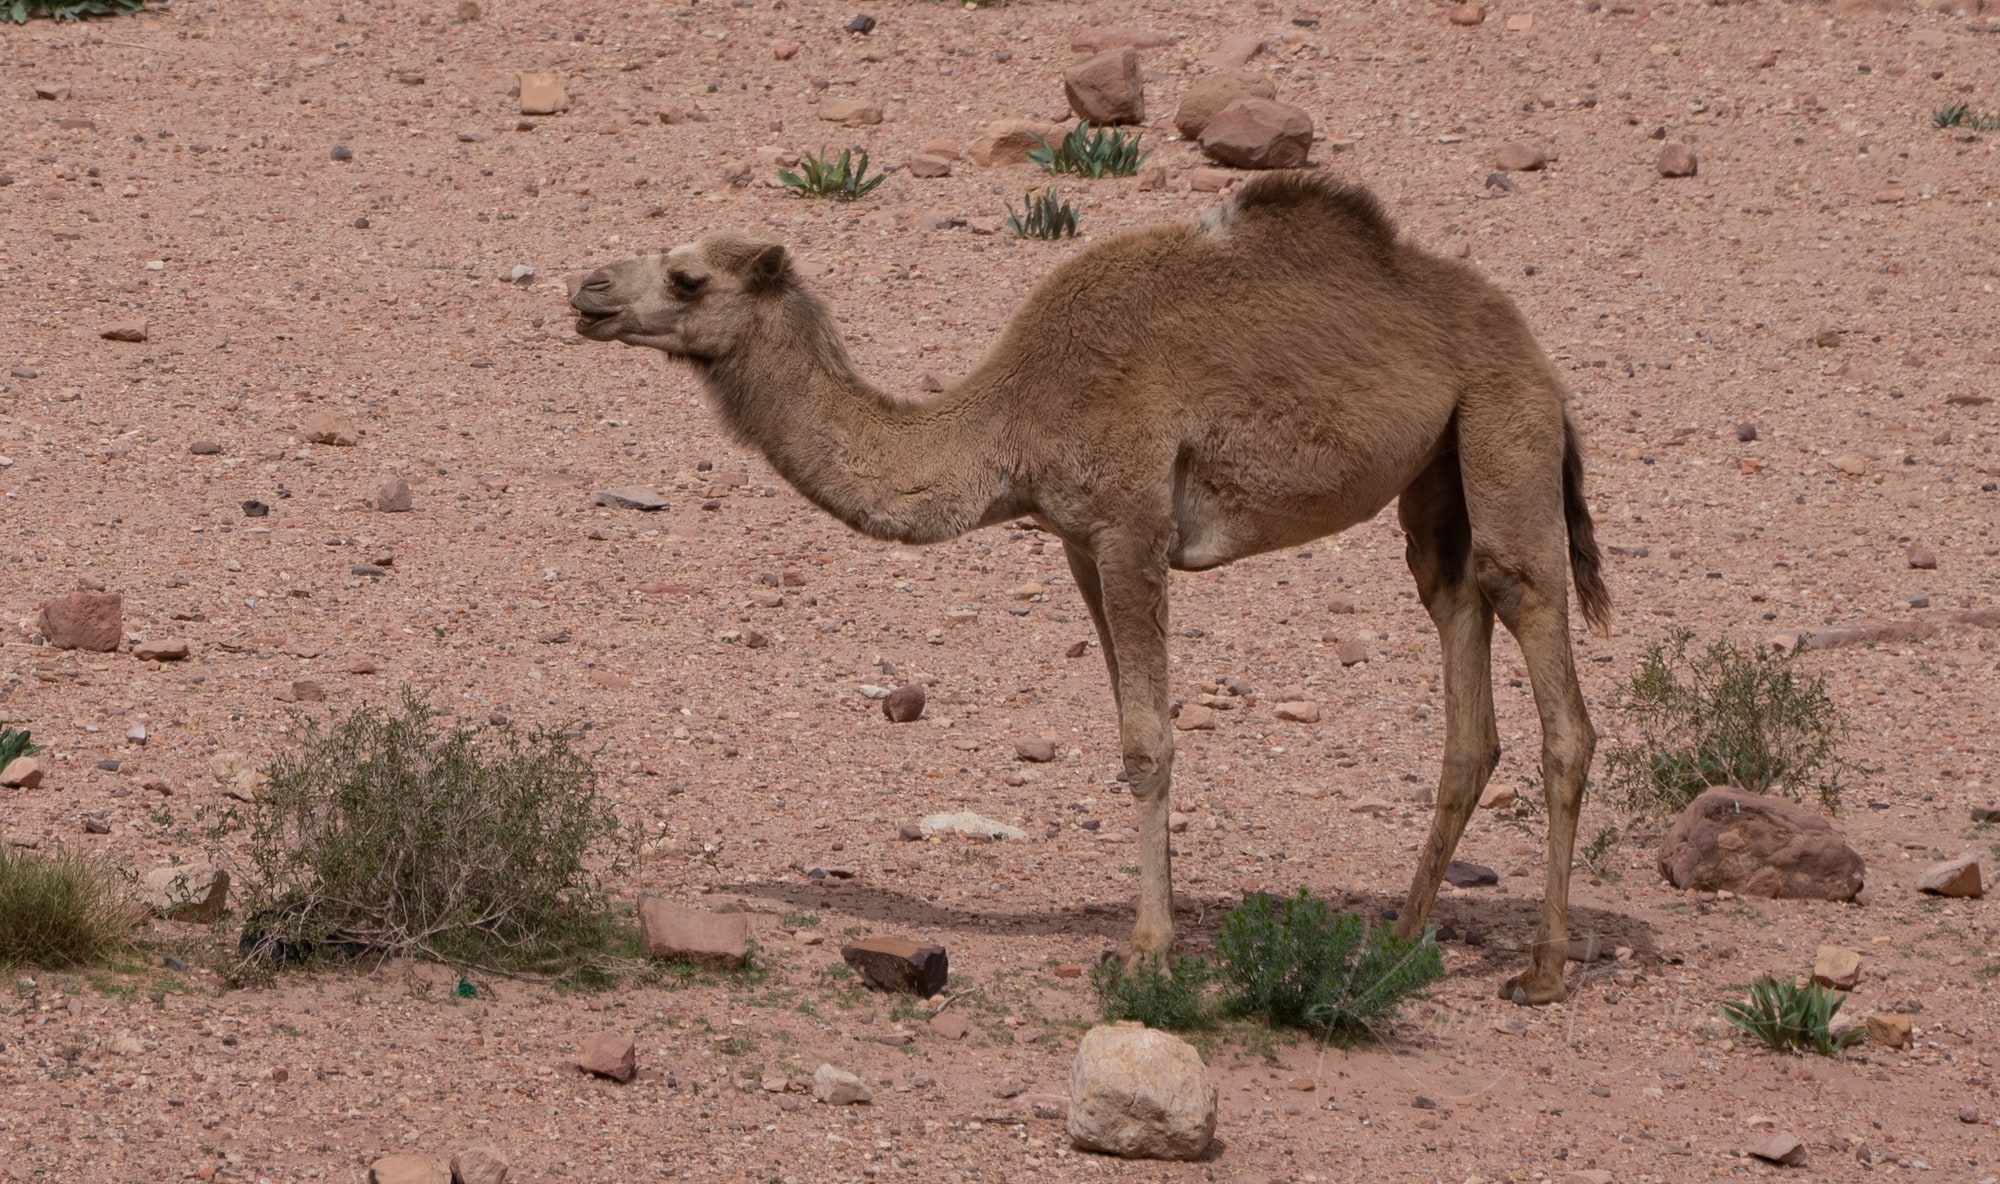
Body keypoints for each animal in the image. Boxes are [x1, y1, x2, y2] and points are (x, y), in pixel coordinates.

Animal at [570, 172, 1610, 1005]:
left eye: (688, 277)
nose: (586, 290)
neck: (1010, 419)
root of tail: (1538, 357)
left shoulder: (1131, 524)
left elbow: (1149, 743)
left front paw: (1146, 951)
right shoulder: (1077, 541)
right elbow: (1127, 732)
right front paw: (1155, 931)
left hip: (1503, 423)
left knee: (1542, 650)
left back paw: (1542, 969)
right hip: (1437, 474)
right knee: (1460, 650)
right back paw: (1394, 944)